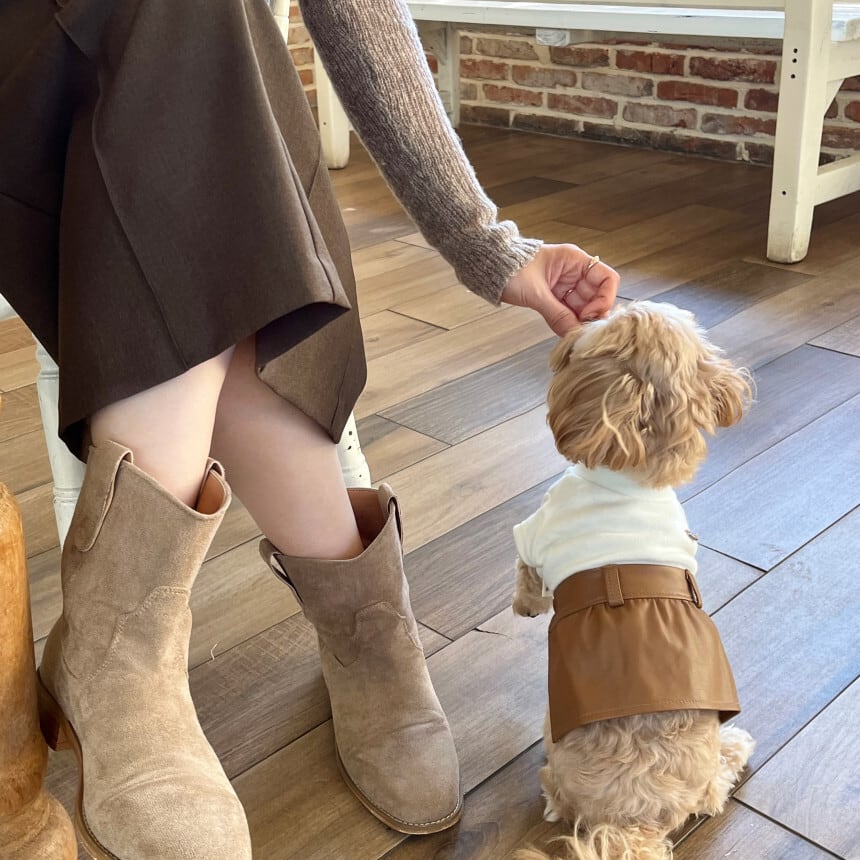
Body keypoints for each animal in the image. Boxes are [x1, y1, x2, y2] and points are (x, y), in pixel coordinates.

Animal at [511, 301, 755, 860]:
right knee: (713, 791)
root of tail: (636, 818)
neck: (633, 479)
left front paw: (525, 605)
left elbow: (526, 574)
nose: (603, 301)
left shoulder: (539, 530)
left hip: (552, 737)